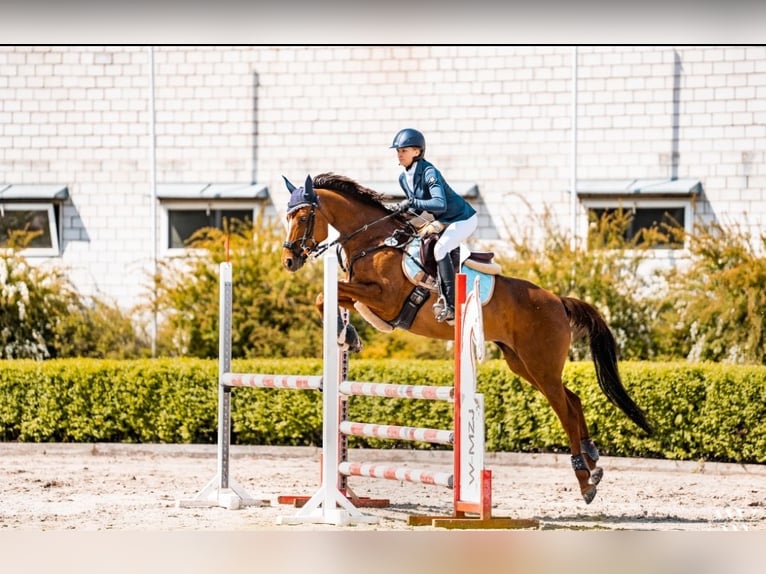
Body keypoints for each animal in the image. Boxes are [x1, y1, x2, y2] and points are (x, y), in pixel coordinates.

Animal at [280, 173, 653, 504]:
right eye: (287, 216)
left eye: (303, 216)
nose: (289, 260)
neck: (374, 242)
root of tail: (557, 301)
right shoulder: (367, 298)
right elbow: (329, 297)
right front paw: (348, 334)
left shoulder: (385, 301)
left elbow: (330, 294)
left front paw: (346, 332)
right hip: (523, 364)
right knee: (572, 400)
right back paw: (593, 461)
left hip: (541, 364)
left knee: (564, 410)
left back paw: (584, 480)